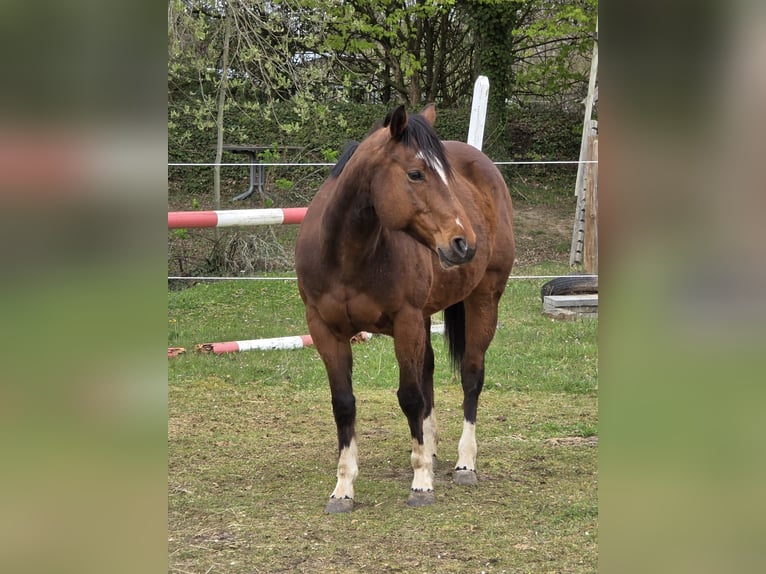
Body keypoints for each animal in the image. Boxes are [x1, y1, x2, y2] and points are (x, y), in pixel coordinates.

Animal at [295, 104, 514, 512]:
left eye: (447, 176)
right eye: (416, 173)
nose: (464, 243)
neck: (348, 255)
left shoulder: (406, 322)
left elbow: (410, 398)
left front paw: (421, 483)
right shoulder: (324, 330)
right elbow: (344, 403)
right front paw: (343, 488)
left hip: (484, 298)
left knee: (471, 376)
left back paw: (465, 463)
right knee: (427, 371)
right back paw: (430, 449)